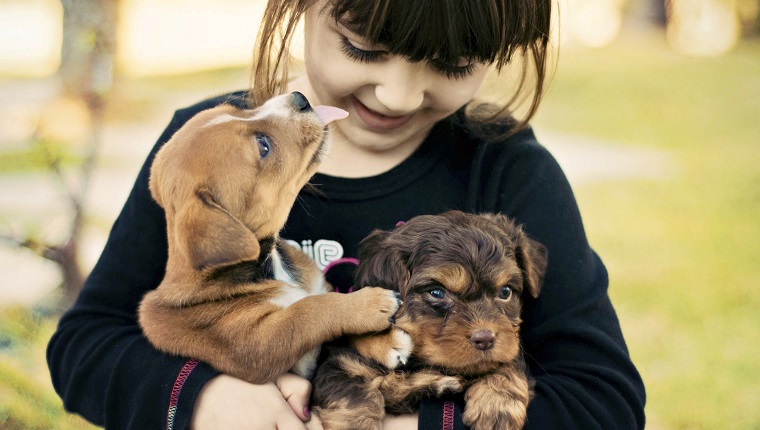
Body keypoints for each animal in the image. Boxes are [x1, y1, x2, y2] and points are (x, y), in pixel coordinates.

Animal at [142, 91, 404, 382]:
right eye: (263, 146)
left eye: (238, 109)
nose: (300, 98)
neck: (273, 267)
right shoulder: (257, 344)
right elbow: (309, 311)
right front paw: (370, 305)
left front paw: (385, 342)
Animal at [310, 211, 548, 430]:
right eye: (436, 292)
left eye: (505, 291)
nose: (485, 339)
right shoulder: (341, 363)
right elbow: (353, 399)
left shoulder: (507, 346)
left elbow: (506, 361)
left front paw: (497, 407)